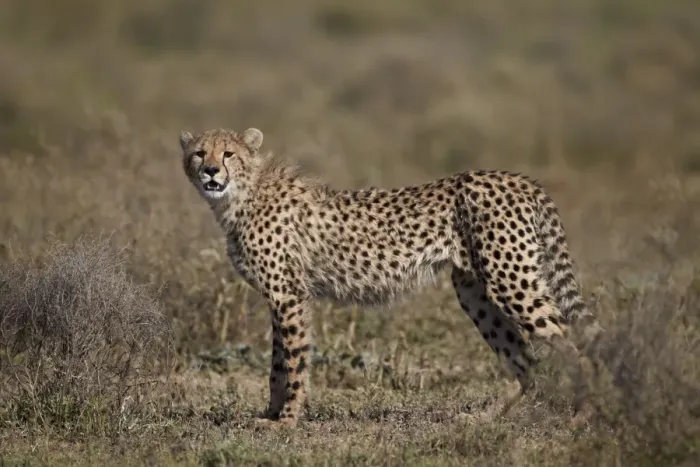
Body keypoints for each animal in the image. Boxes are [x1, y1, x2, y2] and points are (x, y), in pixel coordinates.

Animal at [178, 127, 603, 428]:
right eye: (199, 152)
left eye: (228, 153)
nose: (211, 170)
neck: (241, 195)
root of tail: (517, 178)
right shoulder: (280, 299)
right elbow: (277, 364)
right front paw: (270, 414)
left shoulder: (289, 297)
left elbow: (292, 364)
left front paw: (286, 421)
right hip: (475, 291)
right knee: (524, 359)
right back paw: (485, 419)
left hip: (511, 279)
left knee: (572, 343)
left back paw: (583, 416)